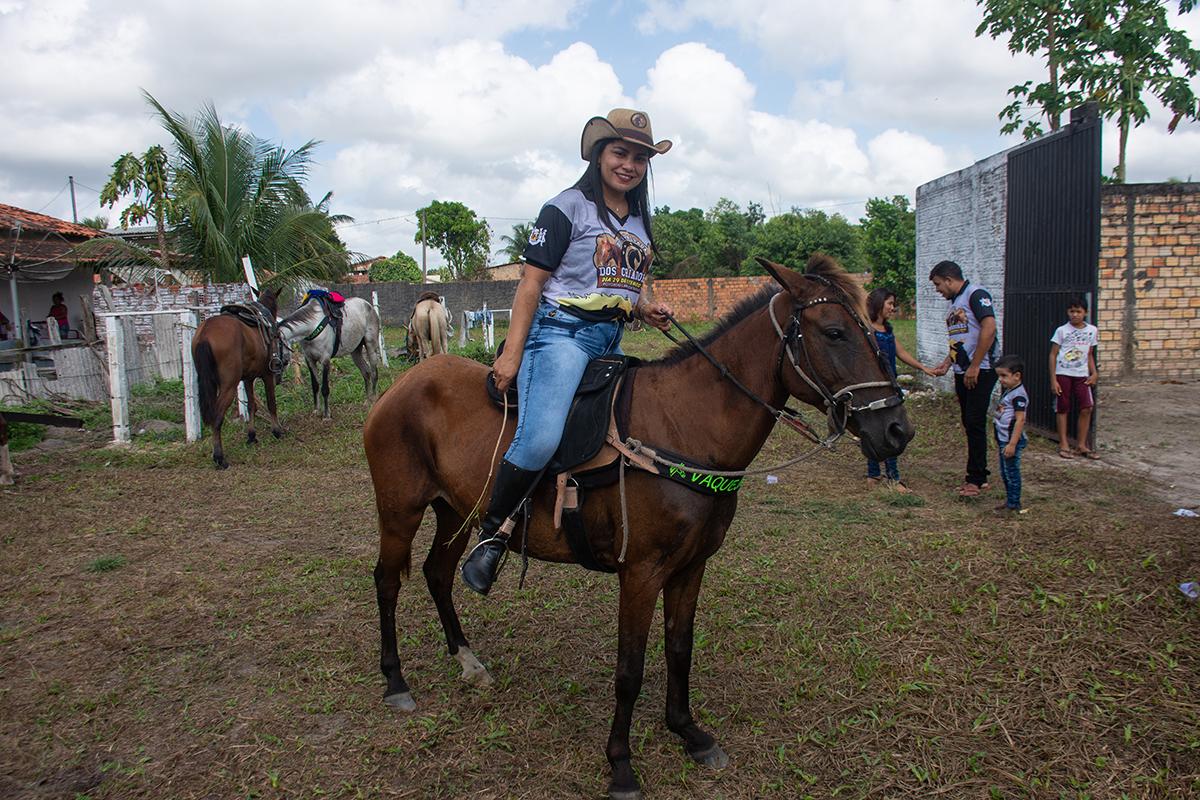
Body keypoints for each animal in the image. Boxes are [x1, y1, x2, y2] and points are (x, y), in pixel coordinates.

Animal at [190, 291, 289, 470]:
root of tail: (205, 334)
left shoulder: (248, 379)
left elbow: (251, 406)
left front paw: (251, 436)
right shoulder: (267, 375)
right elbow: (271, 403)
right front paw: (277, 431)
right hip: (229, 386)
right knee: (217, 417)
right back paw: (219, 458)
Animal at [360, 257, 912, 800]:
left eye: (872, 330)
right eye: (835, 332)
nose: (897, 430)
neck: (686, 426)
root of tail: (401, 386)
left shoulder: (691, 567)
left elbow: (679, 649)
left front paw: (688, 731)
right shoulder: (641, 572)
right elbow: (630, 668)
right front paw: (621, 766)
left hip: (456, 510)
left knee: (436, 573)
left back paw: (468, 660)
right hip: (401, 511)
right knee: (387, 581)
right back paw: (396, 682)